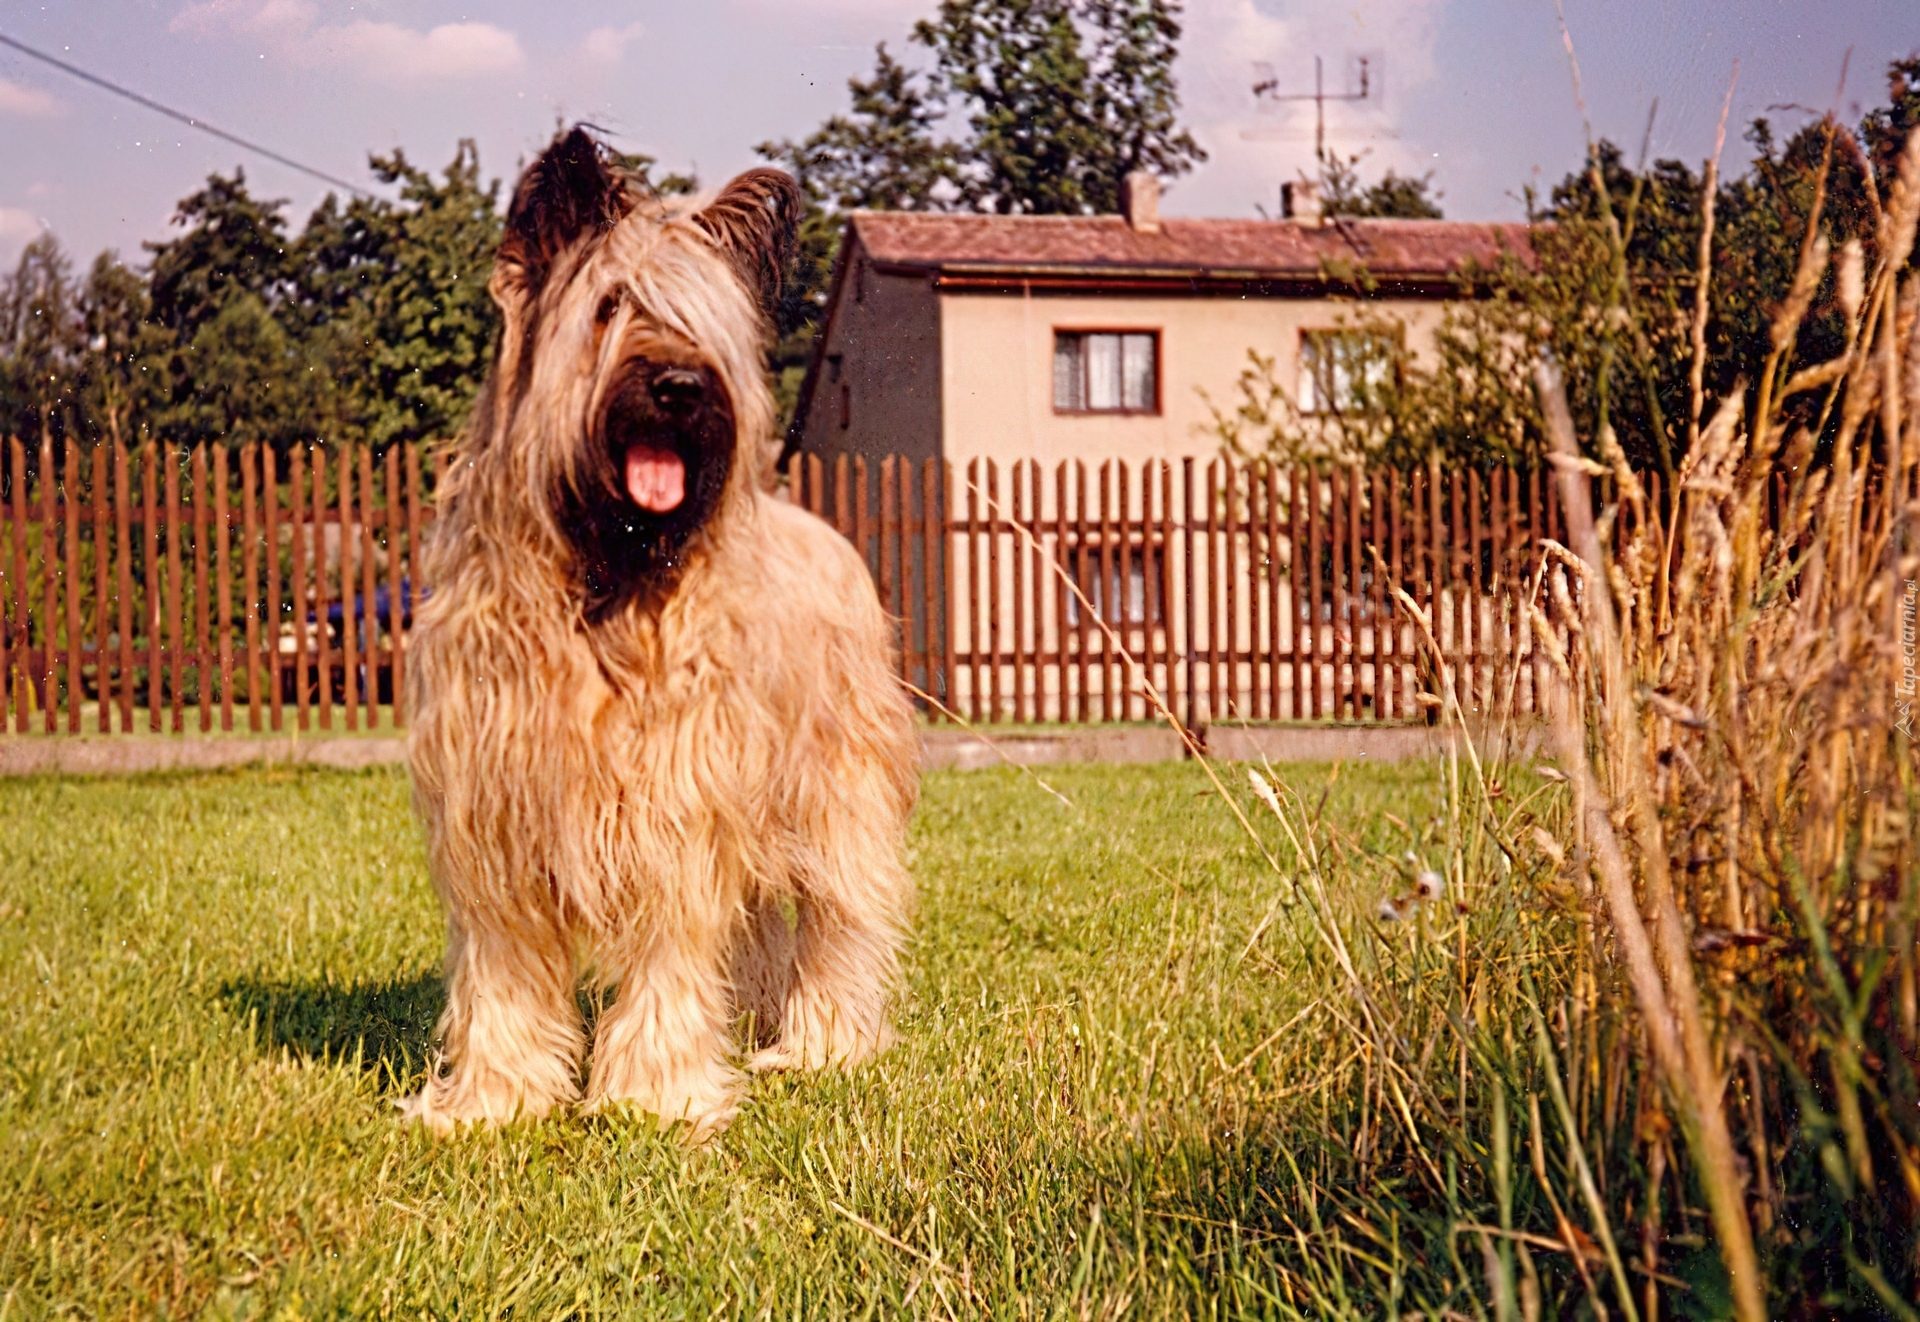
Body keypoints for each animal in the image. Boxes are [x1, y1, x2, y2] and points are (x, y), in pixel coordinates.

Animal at [401, 136, 917, 1143]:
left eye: (702, 321)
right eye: (609, 307)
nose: (680, 387)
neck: (602, 583)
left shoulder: (674, 799)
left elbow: (672, 945)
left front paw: (655, 1097)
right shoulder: (494, 812)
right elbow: (504, 965)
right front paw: (495, 1102)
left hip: (832, 789)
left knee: (838, 913)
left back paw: (820, 1044)